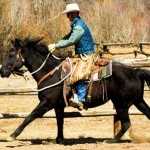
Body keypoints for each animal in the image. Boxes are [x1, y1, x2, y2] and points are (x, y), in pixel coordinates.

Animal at [0, 38, 150, 144]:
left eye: (11, 54)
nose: (2, 71)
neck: (51, 73)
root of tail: (135, 72)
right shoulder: (58, 105)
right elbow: (60, 121)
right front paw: (59, 140)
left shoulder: (47, 102)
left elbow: (30, 116)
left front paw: (12, 136)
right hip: (137, 101)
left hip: (121, 104)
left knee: (126, 123)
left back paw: (111, 140)